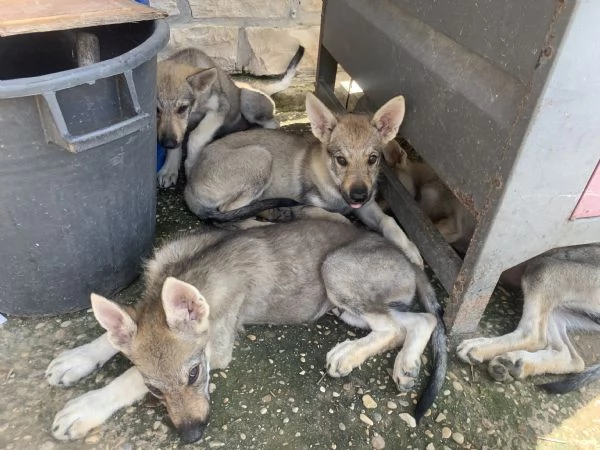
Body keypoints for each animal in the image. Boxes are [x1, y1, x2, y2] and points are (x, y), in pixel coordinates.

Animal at [47, 220, 446, 442]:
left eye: (195, 374)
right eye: (155, 391)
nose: (191, 437)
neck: (190, 273)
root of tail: (410, 259)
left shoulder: (217, 346)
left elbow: (127, 376)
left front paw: (85, 408)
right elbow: (112, 340)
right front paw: (76, 359)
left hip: (337, 271)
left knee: (398, 326)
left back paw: (349, 355)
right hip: (346, 308)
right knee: (416, 322)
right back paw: (405, 365)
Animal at [157, 45, 304, 186]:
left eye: (182, 108)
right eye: (157, 110)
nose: (167, 143)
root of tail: (258, 87)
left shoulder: (220, 108)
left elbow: (195, 136)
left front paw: (191, 166)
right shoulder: (179, 129)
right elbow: (179, 141)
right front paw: (169, 169)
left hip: (246, 100)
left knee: (274, 123)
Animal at [185, 92, 424, 268]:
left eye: (373, 159)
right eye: (341, 160)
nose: (358, 195)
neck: (335, 188)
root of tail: (188, 186)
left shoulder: (366, 207)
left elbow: (388, 220)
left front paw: (410, 249)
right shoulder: (306, 206)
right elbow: (340, 219)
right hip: (261, 158)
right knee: (226, 215)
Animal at [458, 244, 596, 392]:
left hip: (544, 268)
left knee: (534, 335)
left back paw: (478, 347)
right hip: (559, 310)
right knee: (571, 357)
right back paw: (515, 363)